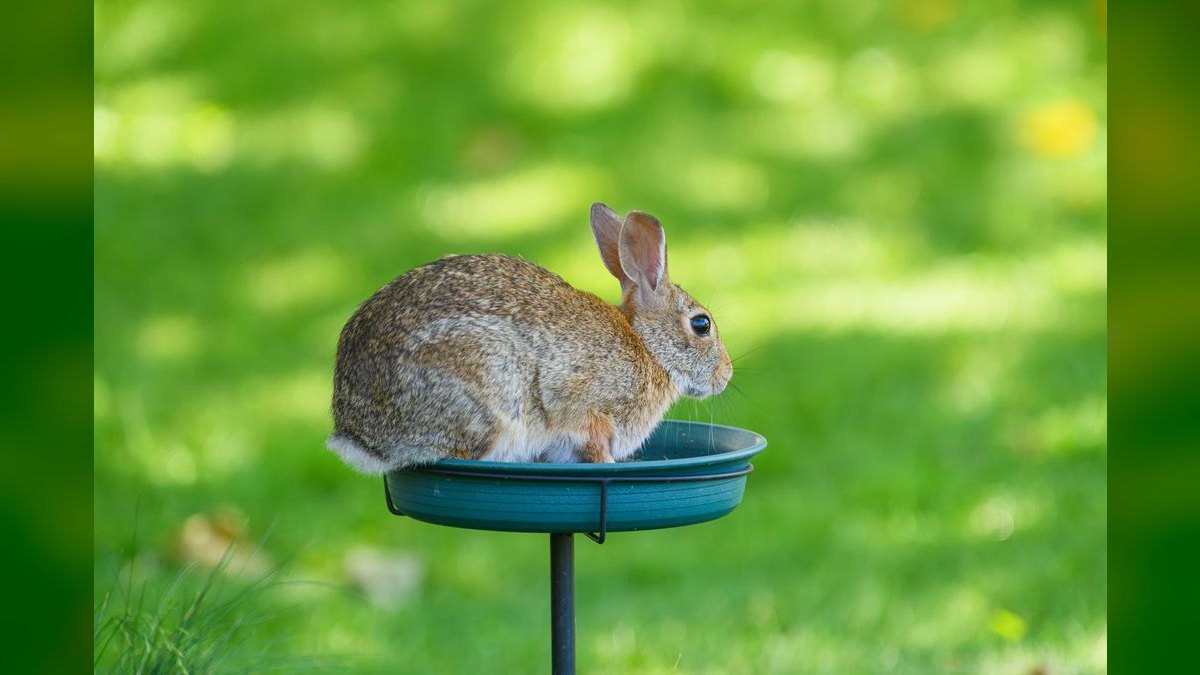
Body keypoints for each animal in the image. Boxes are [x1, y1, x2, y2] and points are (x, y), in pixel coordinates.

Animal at [327, 202, 733, 473]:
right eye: (701, 325)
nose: (726, 376)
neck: (648, 346)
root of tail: (357, 434)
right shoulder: (588, 408)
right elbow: (594, 443)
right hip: (488, 388)